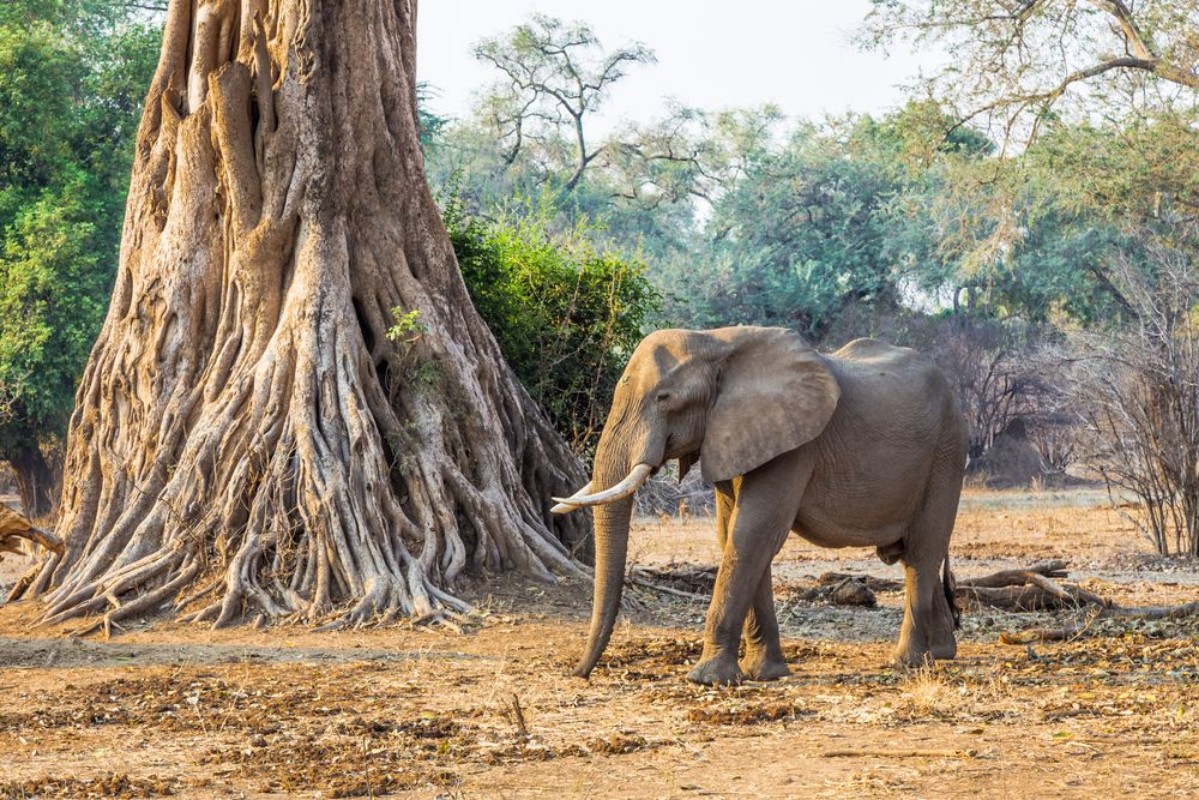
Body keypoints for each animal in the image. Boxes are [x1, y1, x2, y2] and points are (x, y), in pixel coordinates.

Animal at [553, 326, 968, 686]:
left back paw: (908, 661)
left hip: (947, 453)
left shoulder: (795, 446)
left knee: (922, 552)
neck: (717, 343)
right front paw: (763, 674)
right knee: (912, 554)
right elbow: (734, 536)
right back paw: (941, 652)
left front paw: (707, 680)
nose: (578, 672)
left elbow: (753, 532)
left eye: (664, 398)